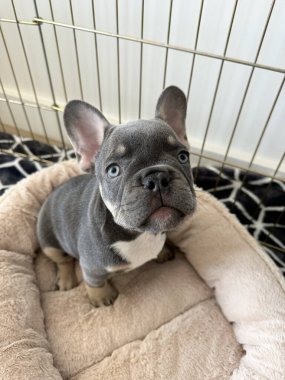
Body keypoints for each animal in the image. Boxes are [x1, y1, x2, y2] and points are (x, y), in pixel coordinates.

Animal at [36, 85, 195, 306]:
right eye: (113, 170)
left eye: (183, 157)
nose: (157, 177)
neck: (139, 234)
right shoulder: (91, 267)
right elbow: (94, 282)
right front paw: (102, 297)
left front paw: (162, 251)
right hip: (48, 243)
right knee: (63, 260)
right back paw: (67, 280)